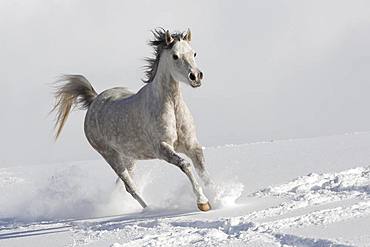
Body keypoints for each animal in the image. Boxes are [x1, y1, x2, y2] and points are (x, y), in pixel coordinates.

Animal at [53, 28, 212, 210]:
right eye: (175, 56)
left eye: (194, 53)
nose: (196, 77)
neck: (171, 106)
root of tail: (94, 100)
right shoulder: (162, 149)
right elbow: (185, 165)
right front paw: (203, 202)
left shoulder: (192, 145)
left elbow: (204, 172)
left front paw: (219, 196)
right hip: (111, 156)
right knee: (130, 187)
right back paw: (148, 210)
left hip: (129, 156)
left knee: (121, 185)